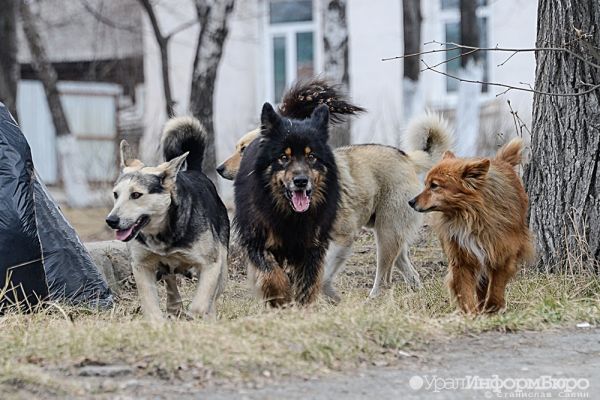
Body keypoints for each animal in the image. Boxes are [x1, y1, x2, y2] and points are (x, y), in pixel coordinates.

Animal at [106, 116, 229, 322]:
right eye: (116, 194)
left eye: (136, 195)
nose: (111, 220)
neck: (162, 231)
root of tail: (194, 171)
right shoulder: (141, 266)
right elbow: (150, 305)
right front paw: (159, 323)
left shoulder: (211, 264)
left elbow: (200, 304)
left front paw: (195, 316)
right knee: (170, 281)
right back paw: (174, 306)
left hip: (223, 266)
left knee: (213, 294)